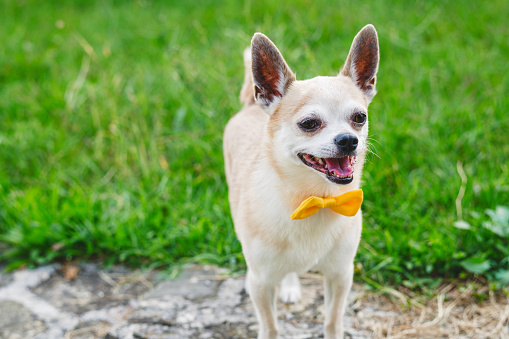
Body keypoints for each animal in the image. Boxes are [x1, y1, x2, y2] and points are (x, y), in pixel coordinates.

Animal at [222, 25, 378, 338]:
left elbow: (332, 320)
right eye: (309, 124)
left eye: (360, 117)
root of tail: (252, 104)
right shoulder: (261, 283)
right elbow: (270, 327)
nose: (349, 140)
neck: (313, 199)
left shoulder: (340, 275)